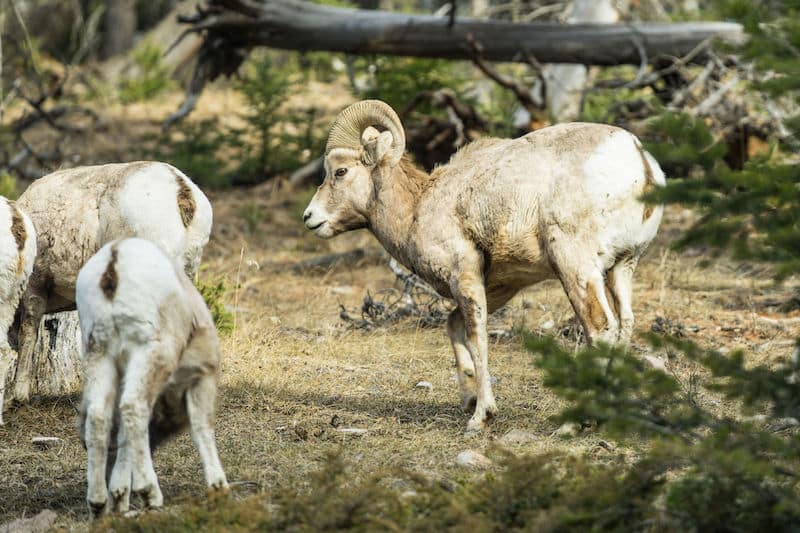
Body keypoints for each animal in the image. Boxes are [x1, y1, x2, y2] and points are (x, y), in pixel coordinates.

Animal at [76, 238, 227, 516]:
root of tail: (113, 262)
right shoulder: (202, 378)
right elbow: (202, 427)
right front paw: (219, 487)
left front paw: (119, 494)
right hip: (150, 352)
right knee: (133, 406)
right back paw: (150, 493)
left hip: (99, 353)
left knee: (99, 416)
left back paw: (99, 503)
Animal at [304, 102, 664, 434]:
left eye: (340, 171)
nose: (310, 217)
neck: (418, 208)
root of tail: (640, 163)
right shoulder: (499, 286)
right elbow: (453, 327)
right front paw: (468, 399)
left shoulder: (465, 277)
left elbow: (477, 337)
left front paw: (480, 417)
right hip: (622, 267)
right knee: (625, 324)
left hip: (575, 266)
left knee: (600, 329)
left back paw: (575, 423)